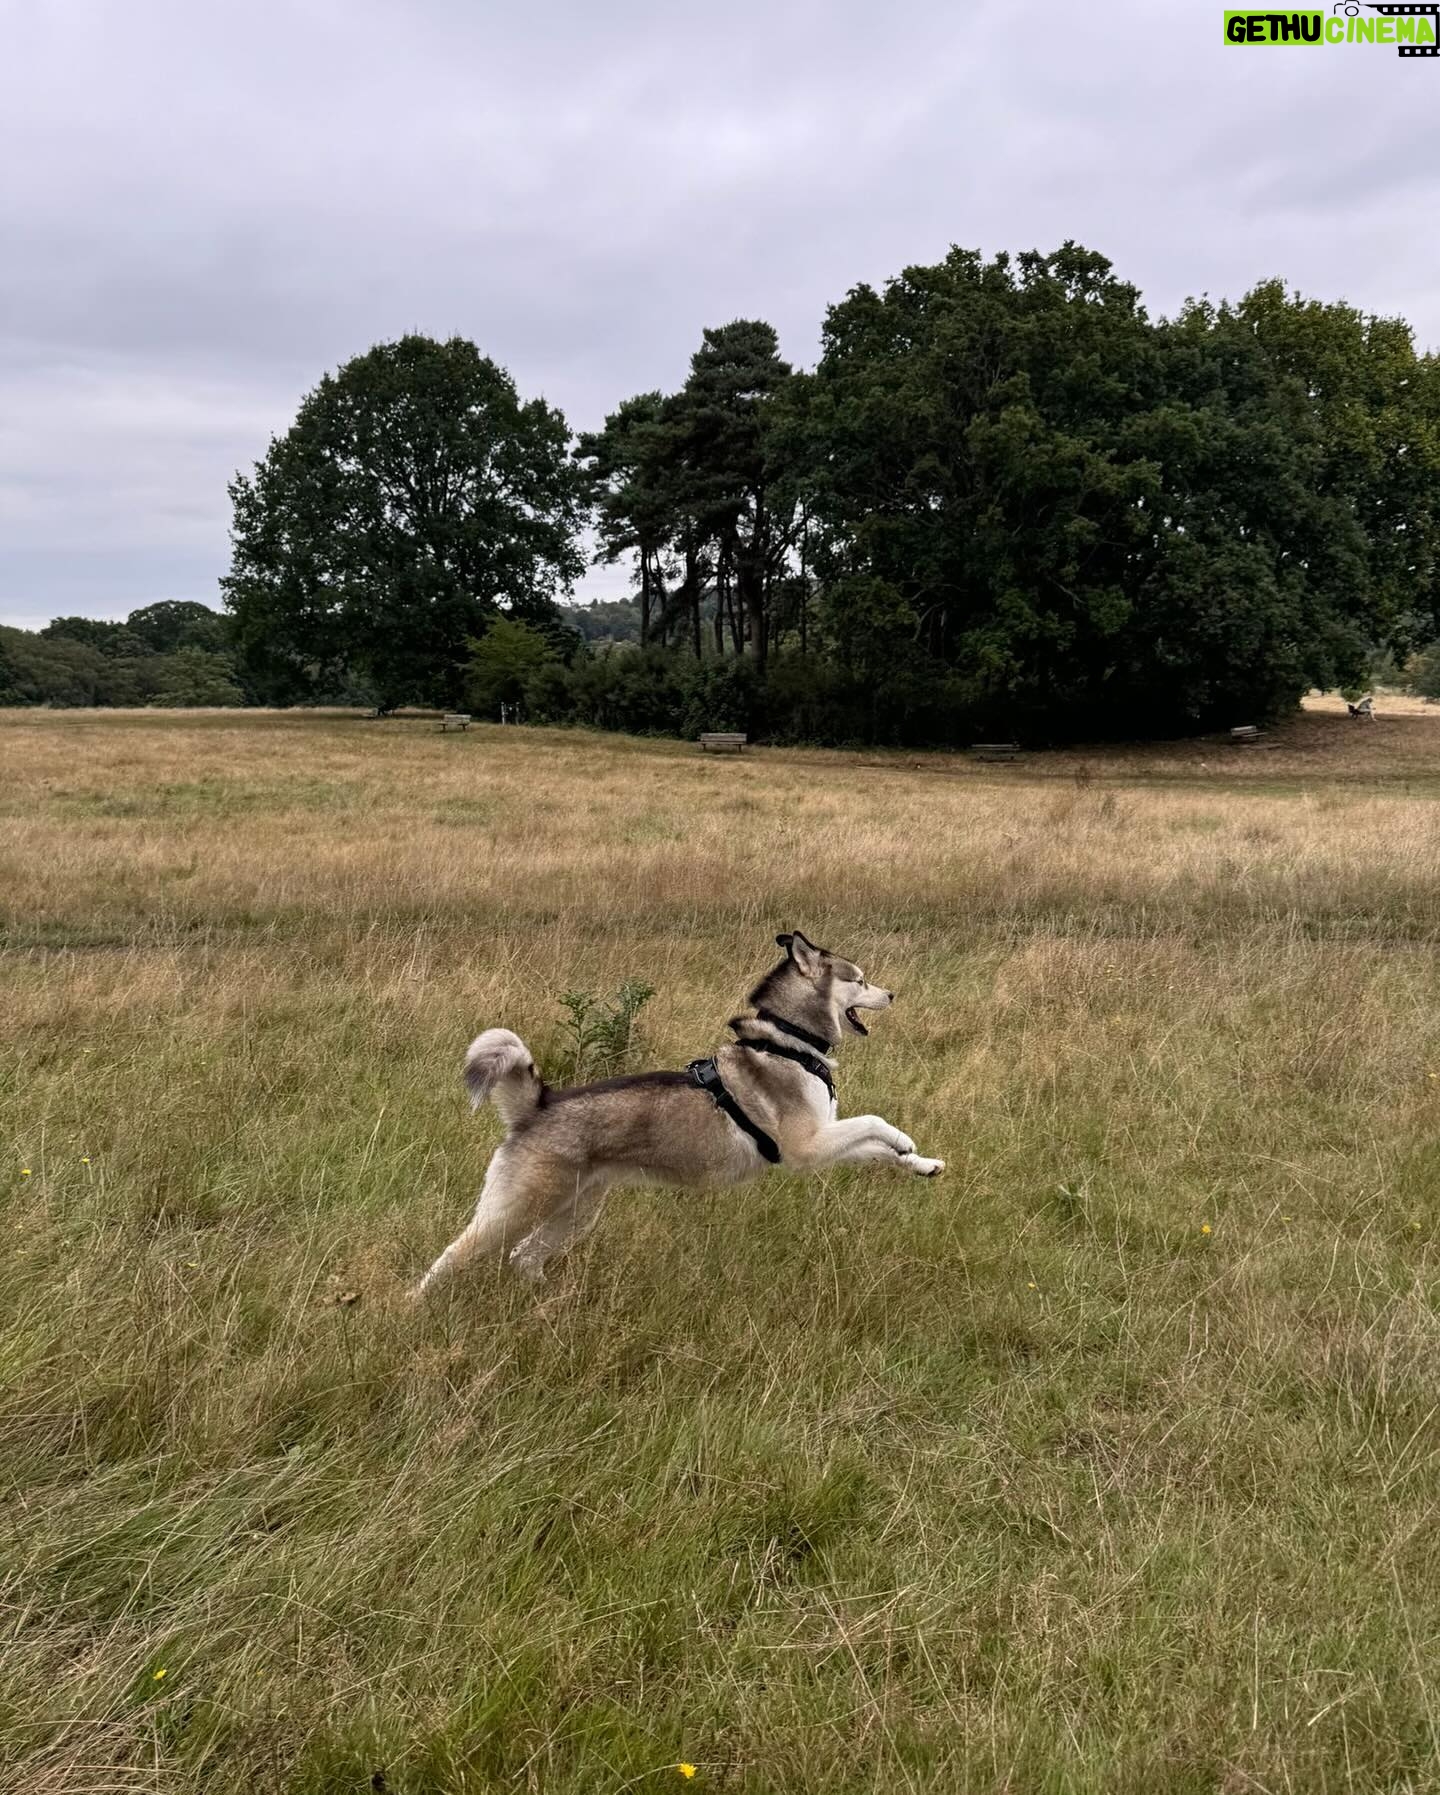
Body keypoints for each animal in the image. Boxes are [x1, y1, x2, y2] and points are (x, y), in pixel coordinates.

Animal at [414, 930, 945, 1292]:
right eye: (861, 980)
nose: (892, 994)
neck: (789, 1042)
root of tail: (536, 1107)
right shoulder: (807, 1146)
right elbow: (876, 1123)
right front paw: (905, 1141)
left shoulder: (828, 1141)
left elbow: (877, 1149)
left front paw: (922, 1163)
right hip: (517, 1209)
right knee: (452, 1257)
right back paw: (415, 1308)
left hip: (576, 1211)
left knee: (524, 1258)